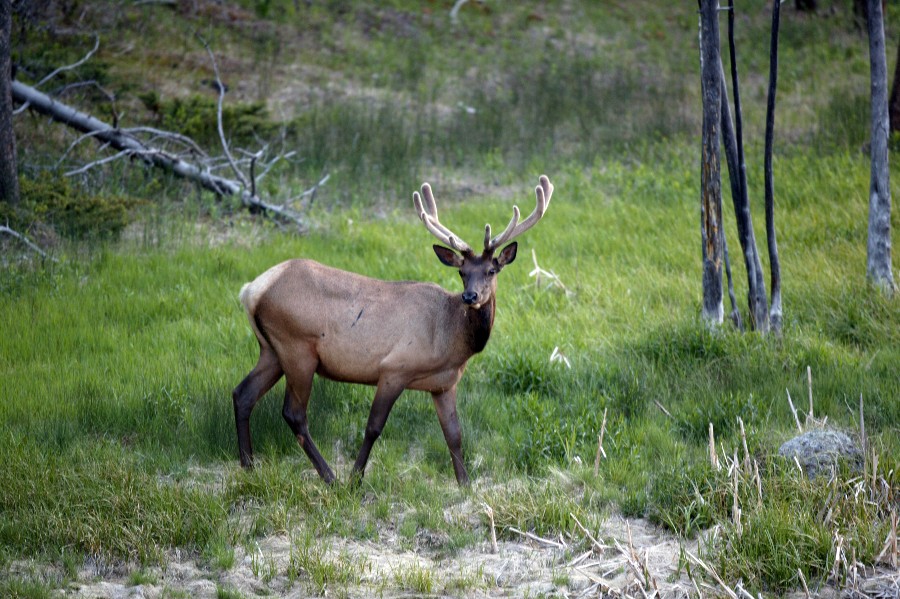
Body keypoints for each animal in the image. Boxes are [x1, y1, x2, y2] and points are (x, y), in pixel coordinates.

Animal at [232, 176, 552, 486]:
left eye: (491, 270)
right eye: (462, 272)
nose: (470, 296)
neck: (451, 338)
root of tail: (250, 290)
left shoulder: (444, 384)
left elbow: (454, 435)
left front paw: (466, 485)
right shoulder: (394, 368)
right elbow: (373, 427)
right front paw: (355, 480)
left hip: (272, 350)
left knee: (242, 394)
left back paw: (249, 467)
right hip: (297, 349)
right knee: (294, 413)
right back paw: (330, 478)